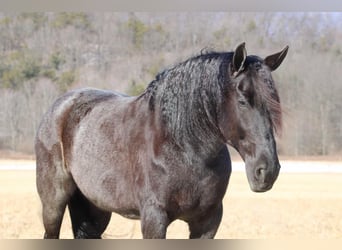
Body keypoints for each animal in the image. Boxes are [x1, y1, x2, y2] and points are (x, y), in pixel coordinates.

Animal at [36, 42, 288, 238]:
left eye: (274, 101)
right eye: (243, 100)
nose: (267, 171)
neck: (185, 148)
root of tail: (61, 105)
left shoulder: (208, 222)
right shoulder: (154, 218)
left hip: (95, 207)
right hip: (54, 203)